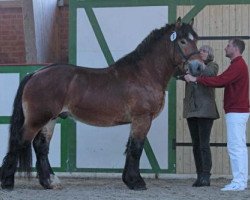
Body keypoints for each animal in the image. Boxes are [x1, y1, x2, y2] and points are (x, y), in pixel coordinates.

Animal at [0, 17, 202, 191]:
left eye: (196, 40)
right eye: (183, 41)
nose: (198, 67)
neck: (144, 74)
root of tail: (35, 73)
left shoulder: (137, 121)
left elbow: (130, 147)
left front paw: (129, 180)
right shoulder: (142, 118)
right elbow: (136, 148)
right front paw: (136, 182)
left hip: (50, 119)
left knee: (41, 147)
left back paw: (50, 182)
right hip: (37, 119)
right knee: (19, 142)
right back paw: (8, 182)